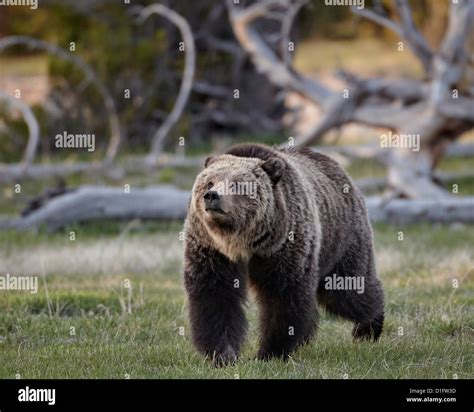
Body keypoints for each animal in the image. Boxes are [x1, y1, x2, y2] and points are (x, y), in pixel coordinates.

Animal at [183, 144, 384, 364]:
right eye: (209, 181)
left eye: (237, 184)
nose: (212, 195)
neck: (241, 242)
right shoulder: (211, 250)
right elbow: (215, 295)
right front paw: (223, 354)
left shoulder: (283, 247)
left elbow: (283, 296)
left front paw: (269, 352)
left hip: (341, 239)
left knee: (348, 290)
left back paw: (368, 327)